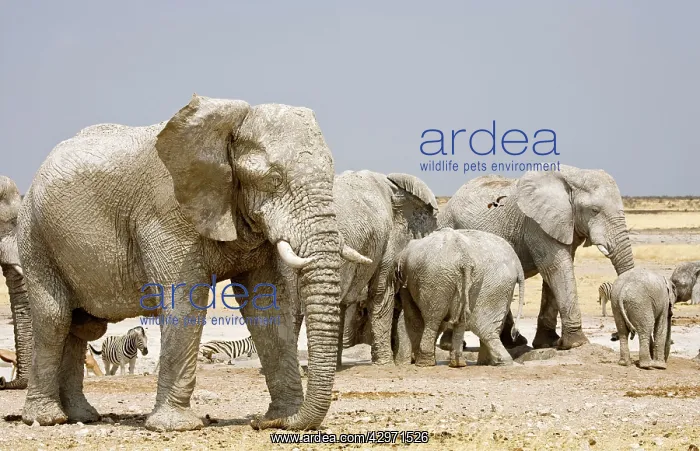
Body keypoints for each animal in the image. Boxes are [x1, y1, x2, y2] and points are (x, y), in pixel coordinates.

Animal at [16, 94, 370, 432]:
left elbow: (267, 306)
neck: (226, 126)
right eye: (273, 180)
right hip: (34, 236)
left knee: (81, 328)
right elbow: (185, 300)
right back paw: (48, 419)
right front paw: (176, 426)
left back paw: (83, 416)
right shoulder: (166, 210)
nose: (259, 423)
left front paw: (285, 417)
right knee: (54, 318)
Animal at [394, 228, 525, 368]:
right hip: (484, 282)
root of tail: (465, 259)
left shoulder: (406, 281)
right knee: (468, 321)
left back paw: (425, 363)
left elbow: (413, 316)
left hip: (437, 279)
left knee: (433, 319)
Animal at [437, 165, 635, 350]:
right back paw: (452, 346)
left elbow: (556, 272)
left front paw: (548, 343)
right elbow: (556, 268)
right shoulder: (535, 224)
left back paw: (513, 343)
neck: (573, 175)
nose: (614, 336)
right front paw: (577, 344)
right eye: (594, 210)